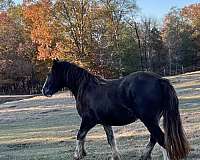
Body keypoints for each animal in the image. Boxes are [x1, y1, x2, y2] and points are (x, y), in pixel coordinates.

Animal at [41, 59, 189, 160]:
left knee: (161, 139)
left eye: (50, 73)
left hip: (149, 119)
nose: (44, 90)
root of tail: (160, 80)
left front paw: (78, 155)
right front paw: (114, 156)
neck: (87, 89)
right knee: (154, 138)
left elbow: (80, 135)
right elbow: (110, 139)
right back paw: (144, 156)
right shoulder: (105, 122)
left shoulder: (88, 120)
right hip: (153, 119)